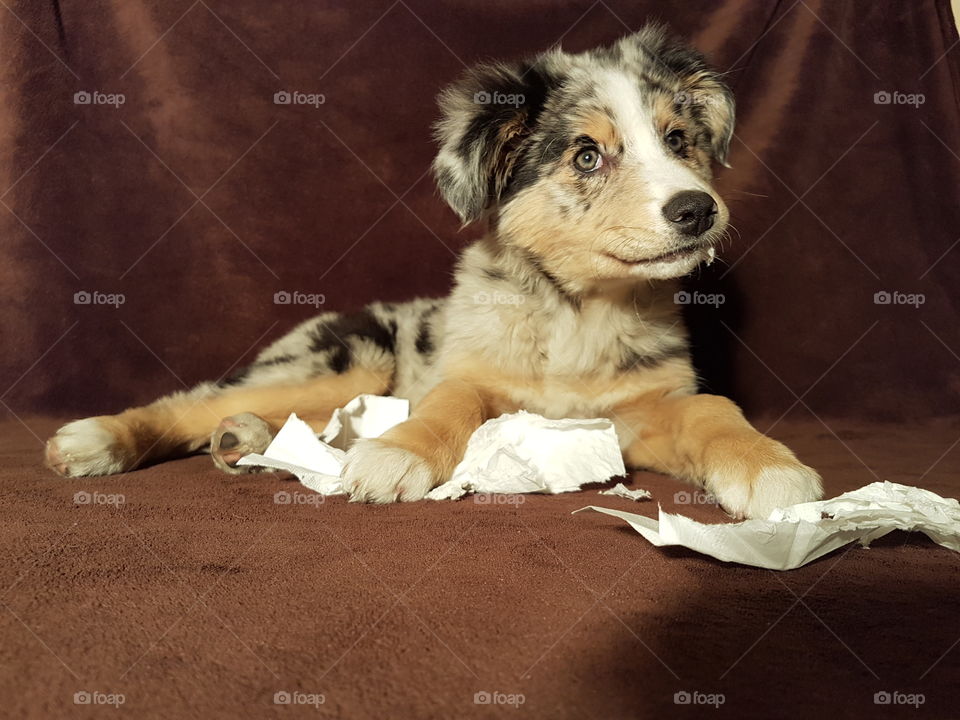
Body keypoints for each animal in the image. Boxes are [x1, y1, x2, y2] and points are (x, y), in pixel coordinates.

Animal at [47, 22, 824, 516]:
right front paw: (396, 456)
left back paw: (245, 440)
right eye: (586, 155)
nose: (697, 211)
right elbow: (451, 405)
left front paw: (772, 468)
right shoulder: (467, 375)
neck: (578, 313)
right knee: (194, 400)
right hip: (344, 362)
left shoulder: (639, 412)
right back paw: (99, 440)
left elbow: (712, 409)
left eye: (678, 139)